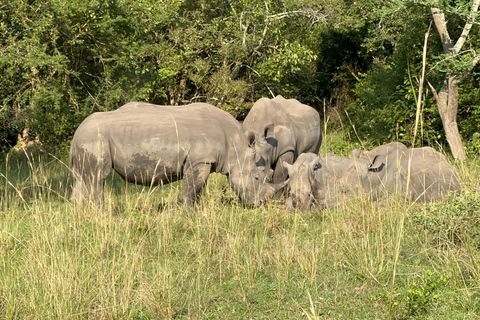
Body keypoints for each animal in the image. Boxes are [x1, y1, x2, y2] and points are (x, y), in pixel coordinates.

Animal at [69, 102, 286, 208]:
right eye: (256, 178)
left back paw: (80, 214)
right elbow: (191, 188)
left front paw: (197, 209)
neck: (236, 147)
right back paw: (101, 213)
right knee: (98, 177)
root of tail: (75, 134)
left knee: (83, 179)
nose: (259, 204)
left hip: (88, 141)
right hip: (95, 140)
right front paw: (188, 211)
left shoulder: (204, 162)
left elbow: (199, 189)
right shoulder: (199, 161)